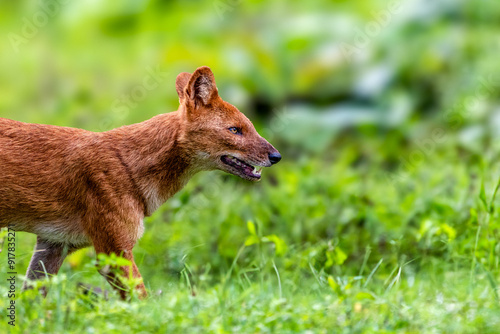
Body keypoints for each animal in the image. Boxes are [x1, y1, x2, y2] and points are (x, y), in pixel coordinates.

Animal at [0, 66, 282, 300]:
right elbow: (141, 304)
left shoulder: (53, 244)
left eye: (251, 127)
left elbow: (32, 301)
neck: (131, 164)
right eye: (235, 130)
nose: (276, 156)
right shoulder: (113, 251)